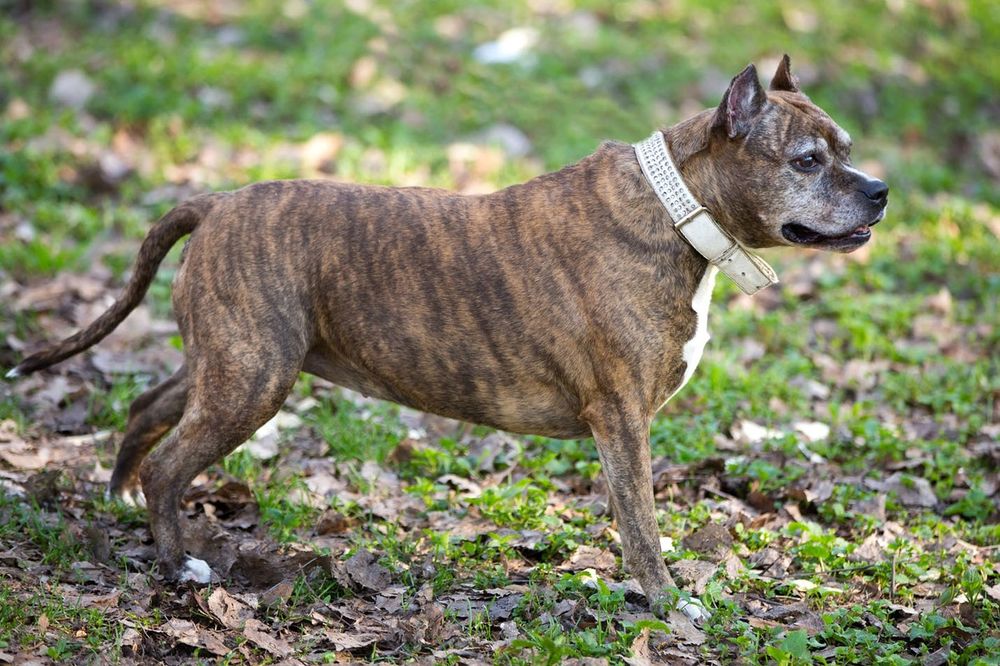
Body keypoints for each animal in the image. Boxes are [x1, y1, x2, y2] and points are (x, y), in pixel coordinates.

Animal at [5, 55, 884, 616]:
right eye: (808, 160)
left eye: (846, 149)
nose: (879, 189)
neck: (678, 209)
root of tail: (216, 203)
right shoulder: (621, 421)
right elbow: (641, 527)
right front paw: (668, 605)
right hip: (251, 381)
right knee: (173, 463)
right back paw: (179, 562)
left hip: (228, 362)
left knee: (149, 408)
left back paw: (120, 494)